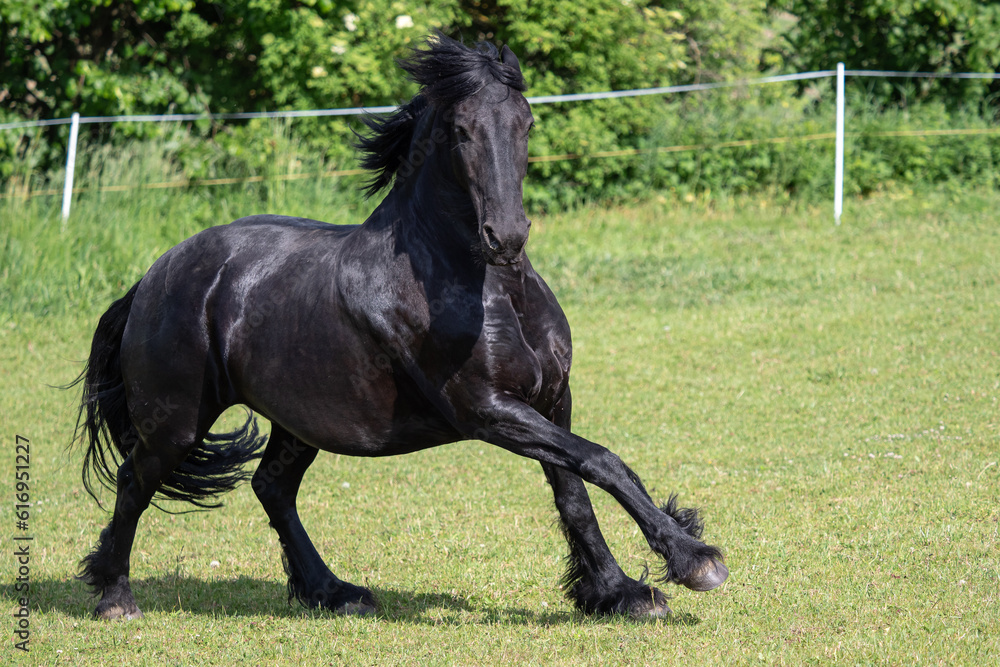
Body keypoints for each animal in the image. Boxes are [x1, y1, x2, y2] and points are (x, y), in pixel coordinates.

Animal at [72, 35, 728, 620]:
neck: (488, 289)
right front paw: (694, 559)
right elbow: (602, 462)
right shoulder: (487, 410)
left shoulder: (552, 400)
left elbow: (577, 491)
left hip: (297, 419)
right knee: (133, 484)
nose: (507, 236)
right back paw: (115, 598)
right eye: (461, 130)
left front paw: (619, 594)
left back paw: (333, 593)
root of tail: (155, 275)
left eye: (526, 123)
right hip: (177, 421)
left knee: (272, 490)